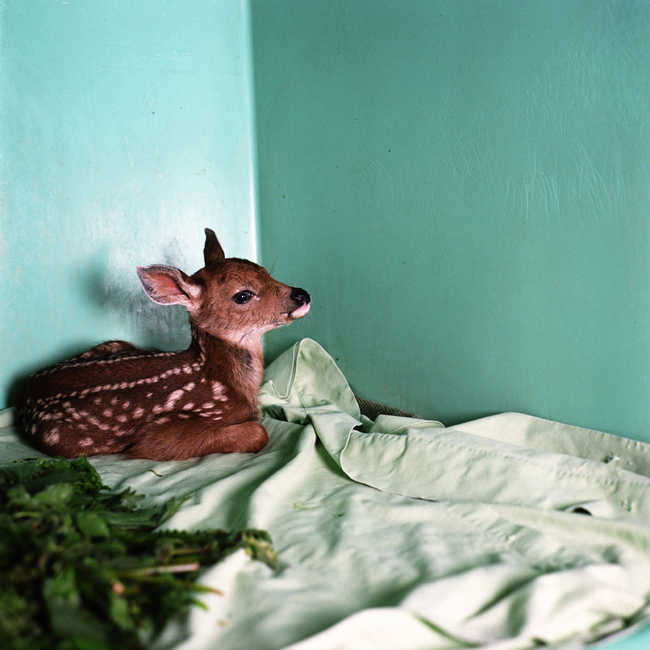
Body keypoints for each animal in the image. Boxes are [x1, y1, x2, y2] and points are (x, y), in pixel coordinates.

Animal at [16, 228, 311, 461]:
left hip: (114, 343)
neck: (226, 383)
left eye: (265, 272)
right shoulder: (162, 433)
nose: (302, 294)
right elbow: (258, 432)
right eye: (243, 295)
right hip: (59, 437)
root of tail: (25, 389)